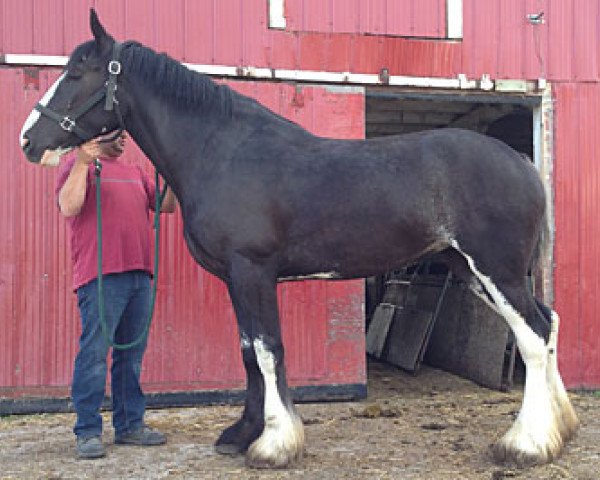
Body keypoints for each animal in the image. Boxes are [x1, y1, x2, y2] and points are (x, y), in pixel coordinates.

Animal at [21, 9, 580, 468]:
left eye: (76, 74)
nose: (29, 140)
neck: (223, 152)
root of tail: (520, 162)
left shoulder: (253, 271)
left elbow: (268, 350)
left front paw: (273, 445)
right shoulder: (236, 278)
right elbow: (248, 351)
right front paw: (241, 434)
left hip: (496, 270)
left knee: (533, 336)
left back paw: (526, 445)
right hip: (473, 270)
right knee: (547, 324)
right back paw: (562, 428)